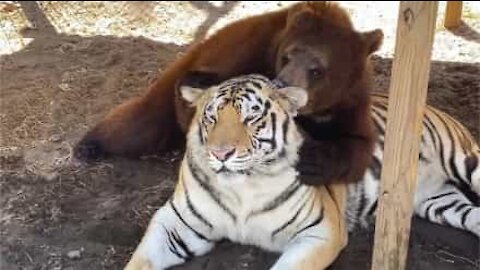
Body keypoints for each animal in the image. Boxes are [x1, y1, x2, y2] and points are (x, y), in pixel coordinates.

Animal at [75, 2, 382, 187]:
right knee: (137, 126)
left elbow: (358, 144)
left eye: (317, 69)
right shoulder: (249, 50)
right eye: (286, 56)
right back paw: (89, 144)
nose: (282, 84)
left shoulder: (352, 100)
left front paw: (315, 161)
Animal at [124, 74, 480, 270]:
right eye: (211, 117)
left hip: (468, 161)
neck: (242, 189)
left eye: (250, 117)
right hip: (439, 203)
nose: (220, 153)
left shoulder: (321, 231)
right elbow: (139, 260)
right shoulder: (174, 223)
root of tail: (432, 107)